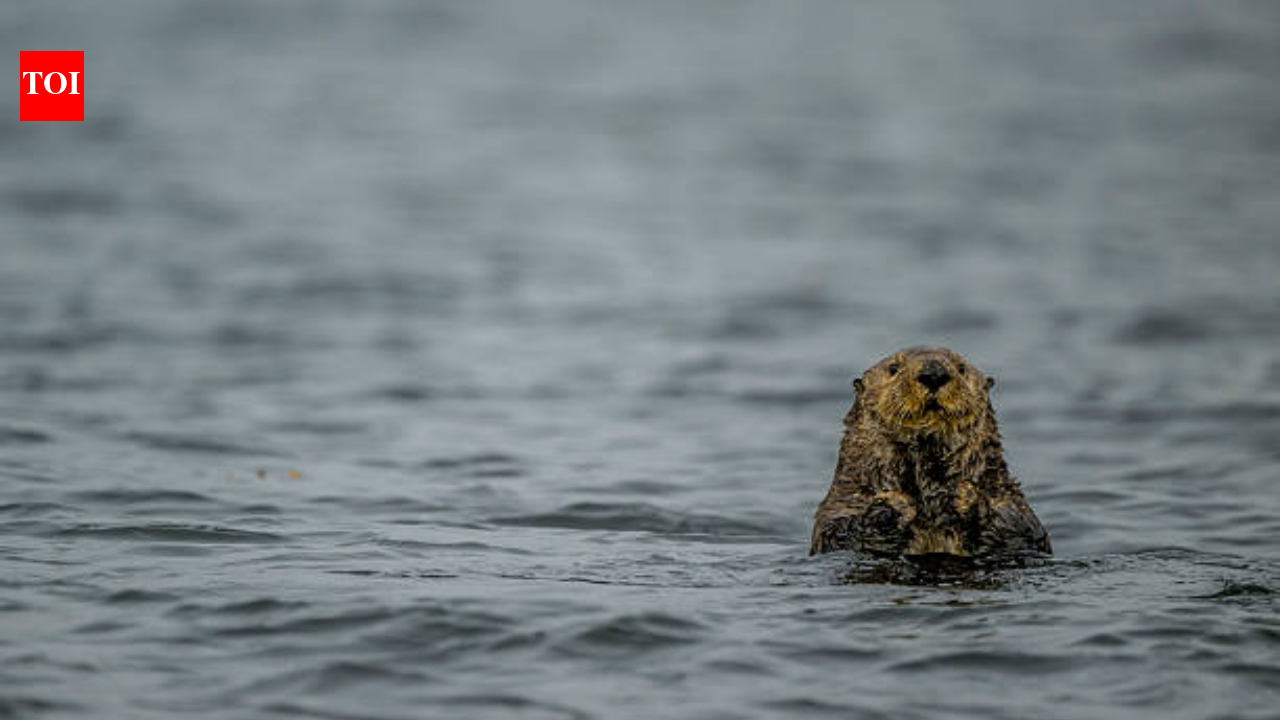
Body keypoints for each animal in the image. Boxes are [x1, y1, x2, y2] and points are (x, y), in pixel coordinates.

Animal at [811, 347, 1050, 558]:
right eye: (893, 368)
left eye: (961, 368)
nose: (934, 373)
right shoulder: (842, 503)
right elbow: (837, 535)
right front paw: (894, 505)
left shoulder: (1009, 499)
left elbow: (1023, 530)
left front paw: (964, 495)